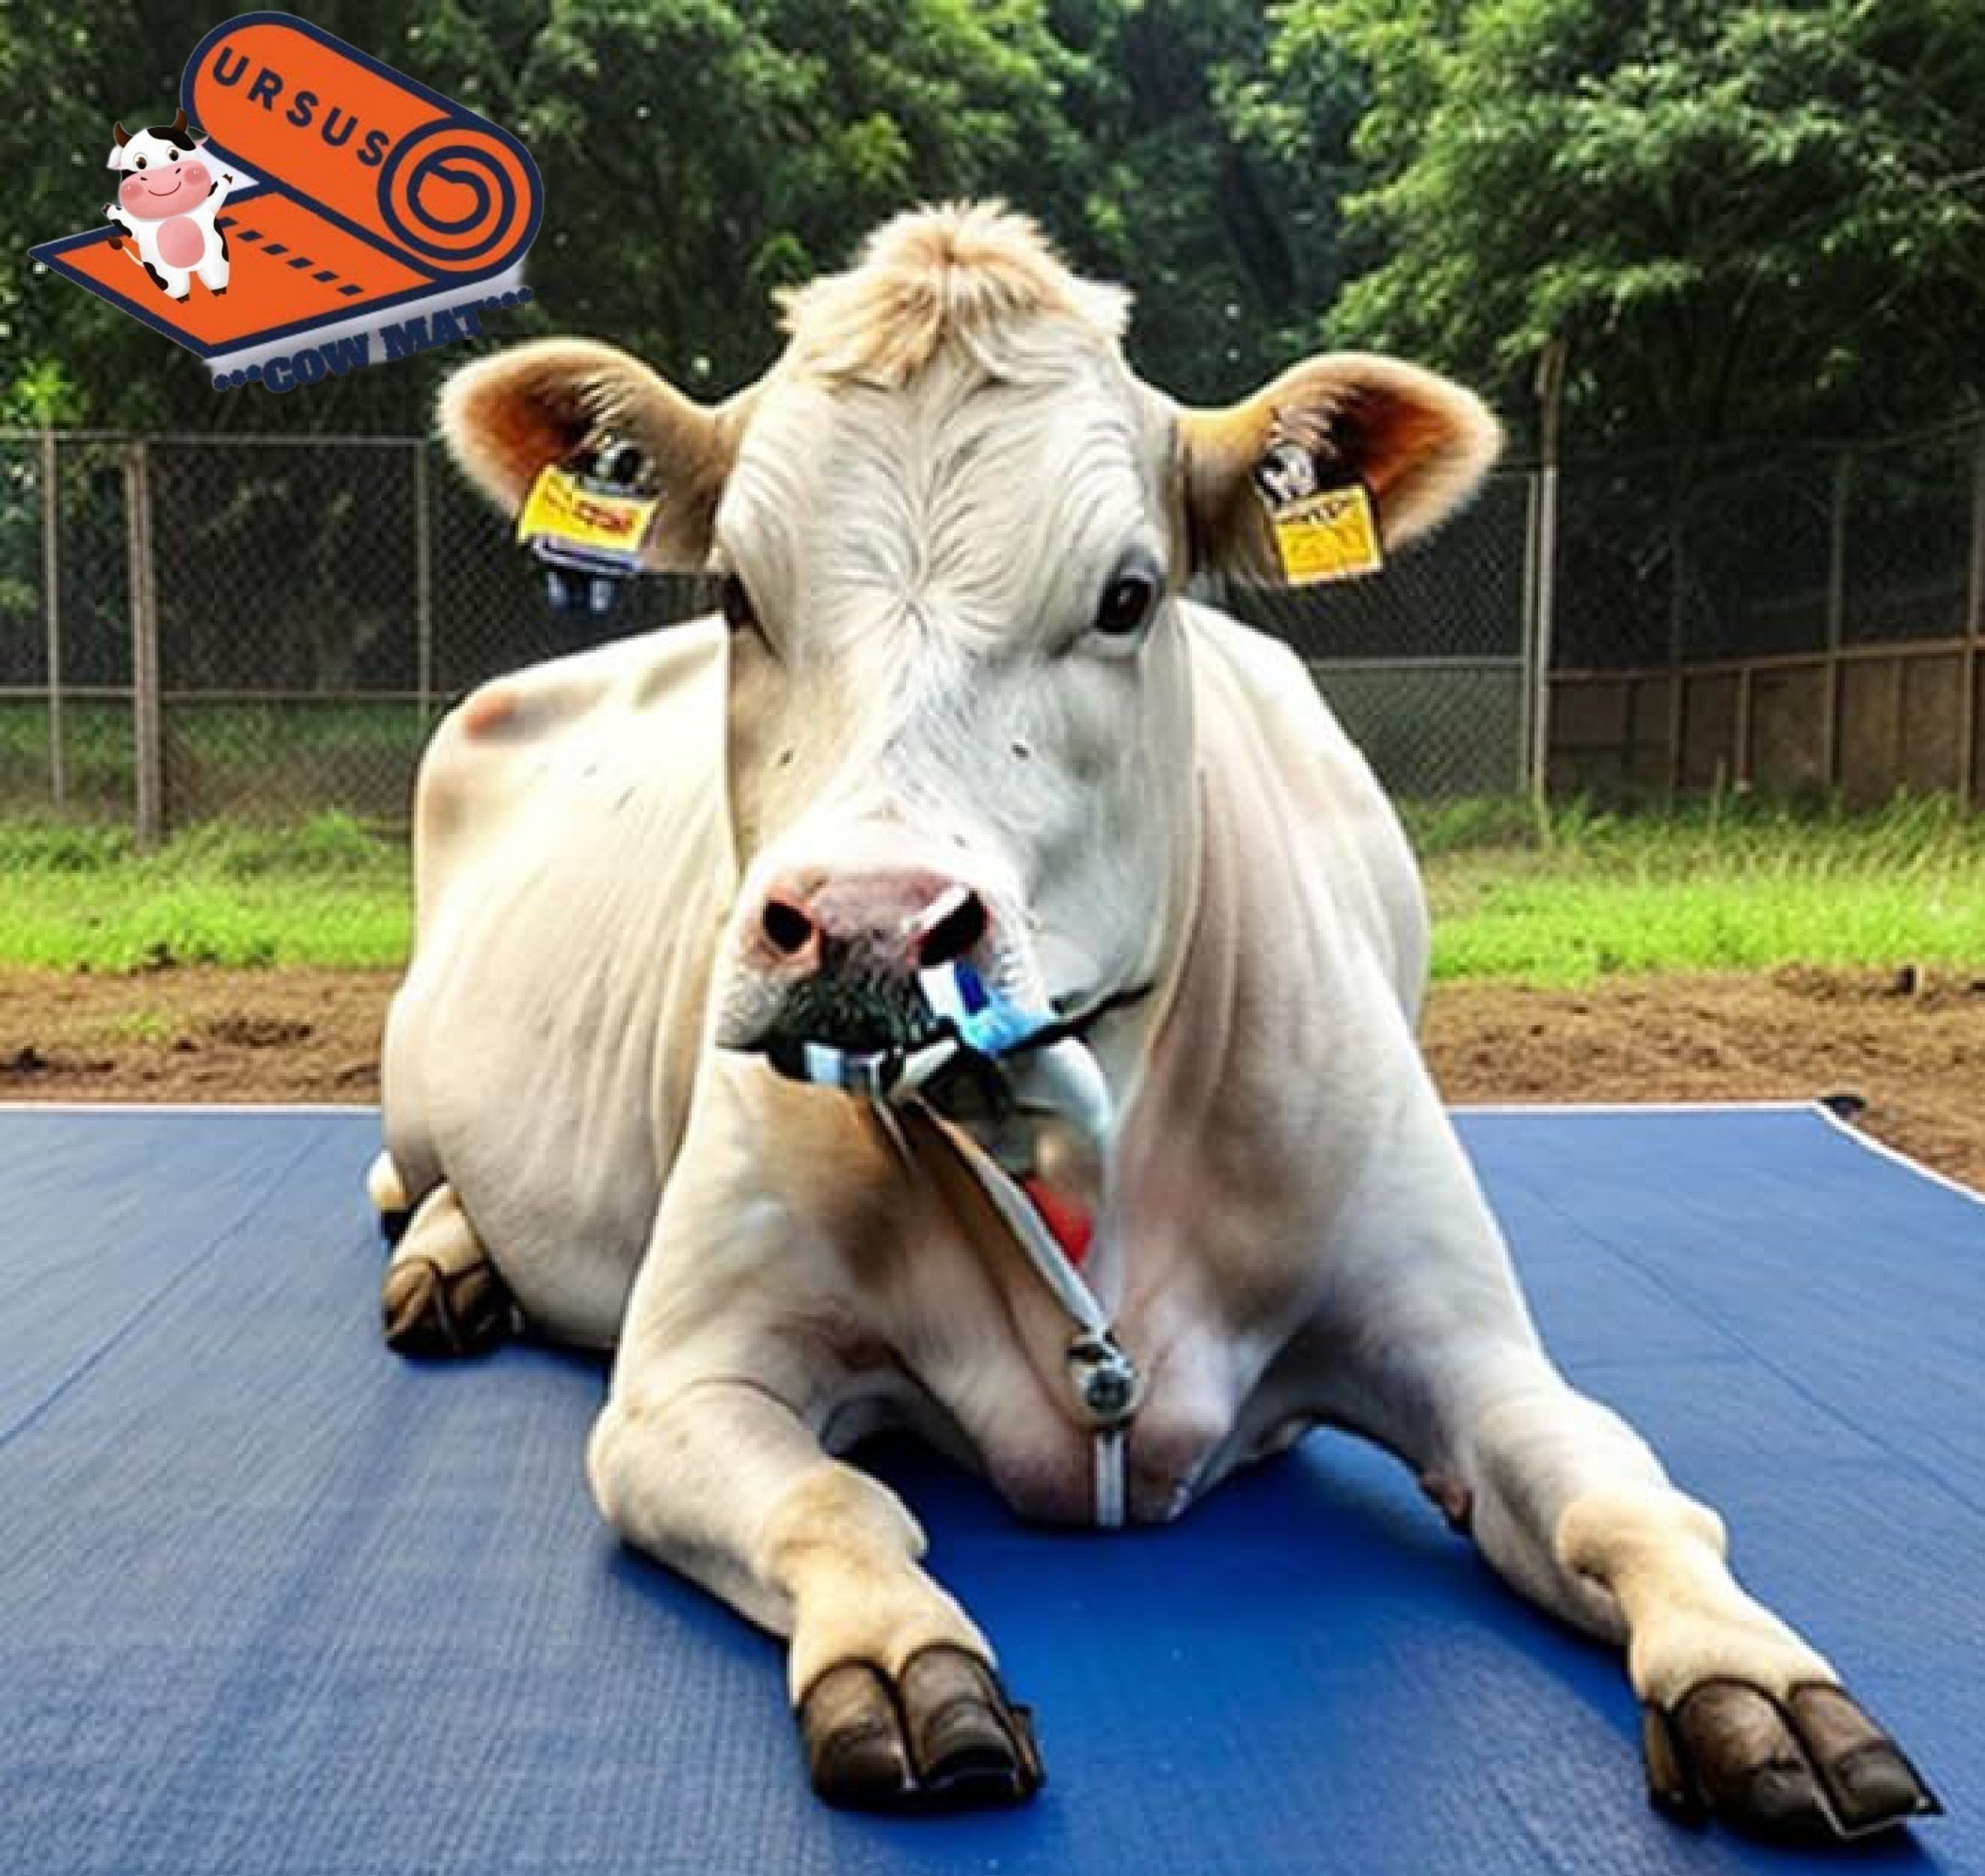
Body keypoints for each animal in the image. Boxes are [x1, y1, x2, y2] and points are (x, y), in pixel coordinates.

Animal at [104, 110, 234, 300]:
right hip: (162, 268)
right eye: (141, 163)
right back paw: (183, 299)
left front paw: (227, 177)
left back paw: (219, 291)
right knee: (175, 284)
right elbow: (128, 224)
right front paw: (107, 208)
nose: (164, 178)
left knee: (215, 273)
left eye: (174, 155)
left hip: (216, 254)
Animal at [375, 203, 1938, 1838]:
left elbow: (1623, 1492)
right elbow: (834, 1499)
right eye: (740, 590)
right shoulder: (682, 1385)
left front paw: (1756, 1672)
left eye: (1127, 595)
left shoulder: (1465, 1342)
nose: (867, 923)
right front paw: (906, 1652)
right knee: (414, 1181)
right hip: (419, 1081)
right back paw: (446, 1265)